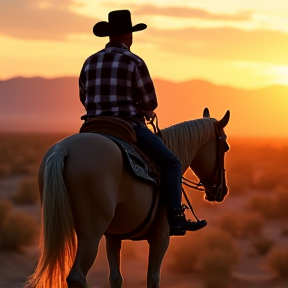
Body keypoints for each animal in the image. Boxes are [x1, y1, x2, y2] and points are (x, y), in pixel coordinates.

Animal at [28, 108, 231, 288]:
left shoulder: (113, 237)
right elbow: (153, 279)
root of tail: (62, 150)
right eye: (226, 147)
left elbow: (116, 278)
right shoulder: (161, 238)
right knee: (77, 276)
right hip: (90, 234)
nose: (222, 191)